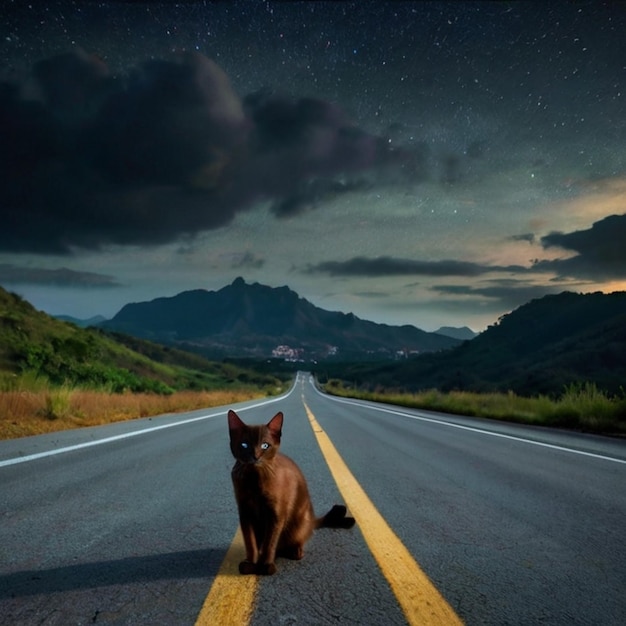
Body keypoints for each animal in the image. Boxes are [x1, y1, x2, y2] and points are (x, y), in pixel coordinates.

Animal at [227, 408, 354, 572]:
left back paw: (295, 551)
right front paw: (250, 563)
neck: (255, 480)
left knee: (295, 540)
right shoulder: (245, 512)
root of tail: (311, 521)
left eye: (265, 446)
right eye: (244, 445)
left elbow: (270, 542)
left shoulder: (276, 514)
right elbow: (250, 541)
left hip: (298, 524)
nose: (255, 456)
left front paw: (266, 565)